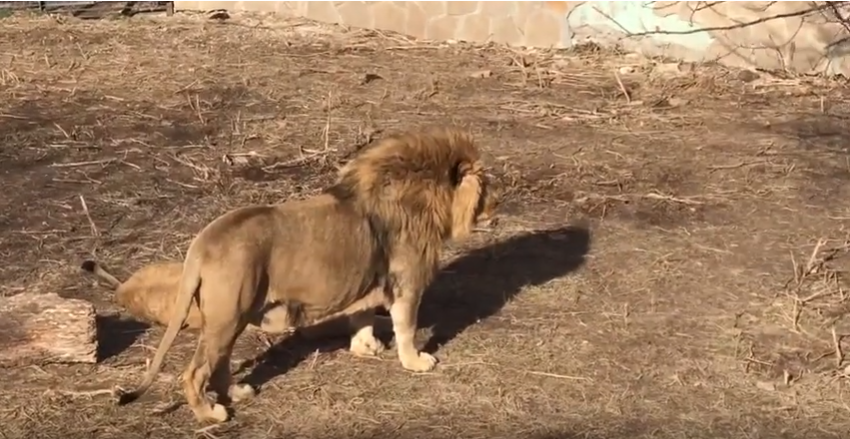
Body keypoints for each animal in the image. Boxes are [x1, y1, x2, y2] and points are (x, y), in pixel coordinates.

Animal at [112, 126, 496, 422]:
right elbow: (406, 327)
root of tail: (202, 242)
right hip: (228, 313)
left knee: (218, 364)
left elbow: (362, 316)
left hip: (232, 316)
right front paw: (415, 361)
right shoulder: (407, 282)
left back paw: (237, 392)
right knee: (194, 373)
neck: (427, 195)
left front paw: (366, 347)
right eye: (486, 187)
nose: (498, 204)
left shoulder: (366, 280)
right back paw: (212, 415)